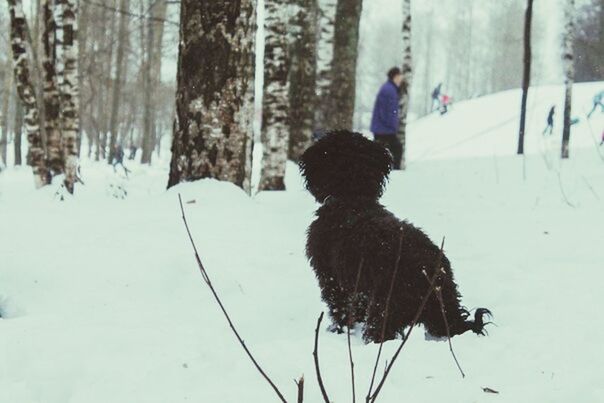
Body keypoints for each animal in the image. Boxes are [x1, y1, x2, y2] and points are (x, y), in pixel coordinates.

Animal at [298, 131, 490, 342]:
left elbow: (340, 310)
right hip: (443, 310)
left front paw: (337, 330)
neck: (352, 199)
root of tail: (429, 270)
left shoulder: (333, 280)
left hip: (384, 310)